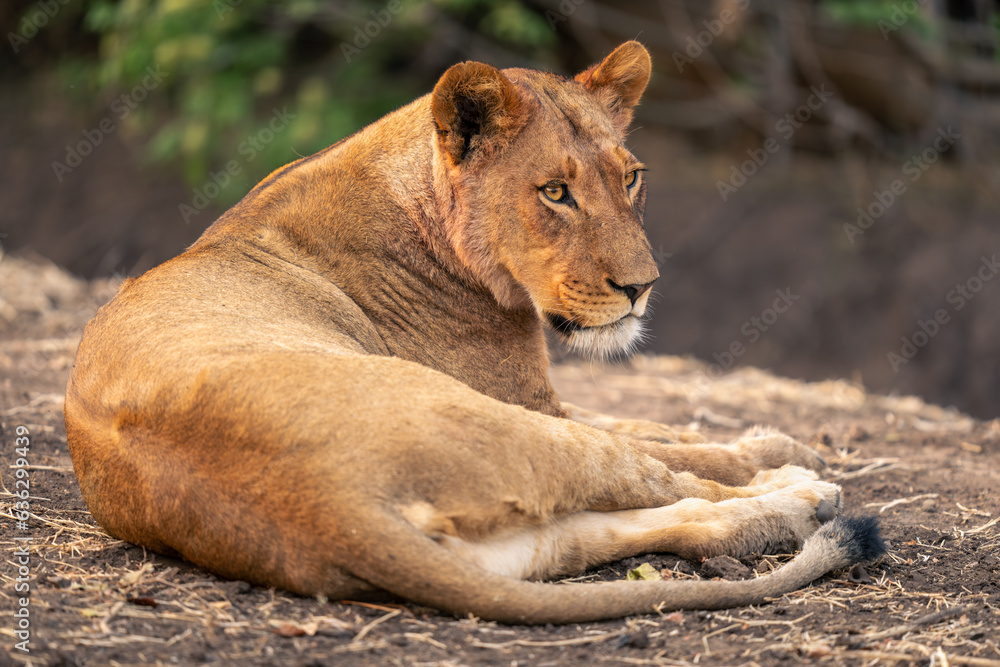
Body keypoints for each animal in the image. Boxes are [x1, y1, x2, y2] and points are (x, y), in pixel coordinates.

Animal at [65, 41, 882, 624]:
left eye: (631, 177)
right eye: (555, 193)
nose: (641, 288)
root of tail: (328, 508)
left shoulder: (539, 401)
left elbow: (657, 421)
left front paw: (777, 436)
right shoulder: (527, 399)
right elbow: (676, 442)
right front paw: (784, 450)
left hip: (513, 543)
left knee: (650, 520)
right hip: (502, 426)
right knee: (663, 479)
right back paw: (805, 495)